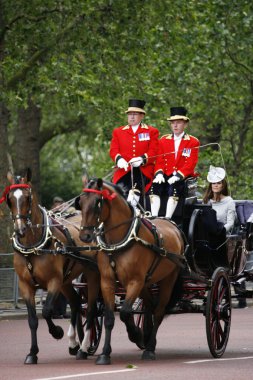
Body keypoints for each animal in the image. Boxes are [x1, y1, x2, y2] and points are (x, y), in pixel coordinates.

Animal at [2, 170, 101, 366]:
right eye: (9, 198)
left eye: (27, 197)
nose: (20, 230)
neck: (33, 246)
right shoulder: (25, 285)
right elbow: (33, 319)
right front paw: (32, 353)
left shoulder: (54, 281)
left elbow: (47, 310)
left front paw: (57, 332)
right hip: (66, 280)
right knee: (76, 303)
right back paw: (74, 344)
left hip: (92, 275)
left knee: (91, 309)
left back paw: (84, 347)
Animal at [77, 180, 186, 364]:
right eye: (81, 201)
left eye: (98, 202)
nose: (84, 236)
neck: (119, 241)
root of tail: (174, 226)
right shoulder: (107, 281)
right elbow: (109, 318)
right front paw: (105, 354)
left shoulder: (135, 281)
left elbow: (125, 312)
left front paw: (136, 334)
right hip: (146, 283)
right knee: (150, 305)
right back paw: (148, 337)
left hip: (168, 279)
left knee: (159, 311)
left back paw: (149, 348)